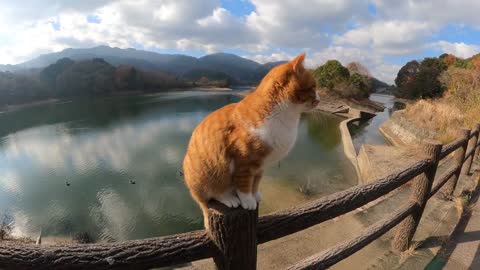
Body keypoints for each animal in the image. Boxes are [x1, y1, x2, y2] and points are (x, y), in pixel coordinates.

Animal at [183, 53, 318, 228]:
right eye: (313, 87)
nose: (319, 99)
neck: (285, 117)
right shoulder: (244, 164)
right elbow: (244, 186)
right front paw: (247, 201)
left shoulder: (260, 167)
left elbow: (255, 184)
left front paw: (255, 195)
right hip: (210, 174)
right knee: (212, 195)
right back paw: (229, 198)